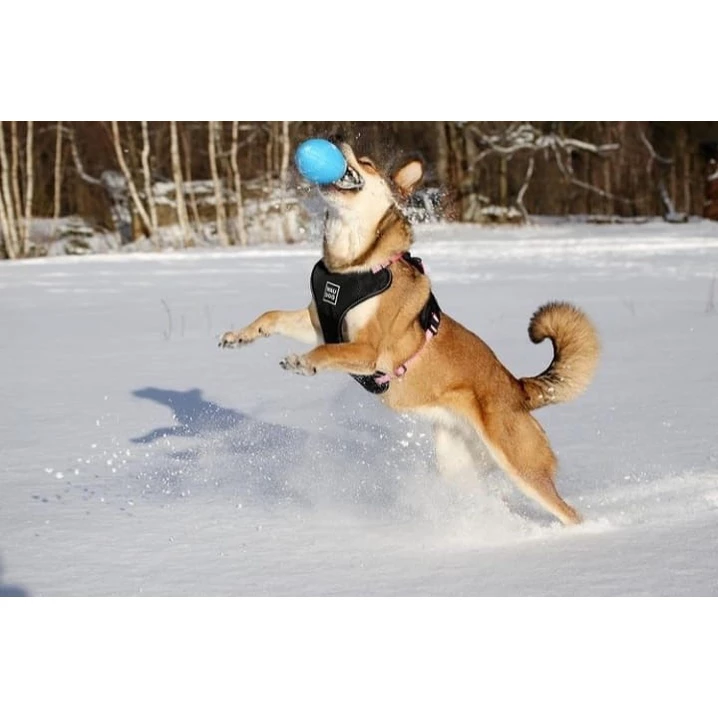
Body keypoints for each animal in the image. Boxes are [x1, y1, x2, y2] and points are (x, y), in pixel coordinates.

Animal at [221, 142, 600, 528]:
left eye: (366, 162)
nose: (338, 140)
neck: (352, 265)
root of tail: (519, 389)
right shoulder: (317, 323)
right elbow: (272, 316)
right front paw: (239, 336)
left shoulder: (367, 350)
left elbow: (326, 353)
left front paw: (302, 363)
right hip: (458, 462)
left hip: (520, 463)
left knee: (568, 512)